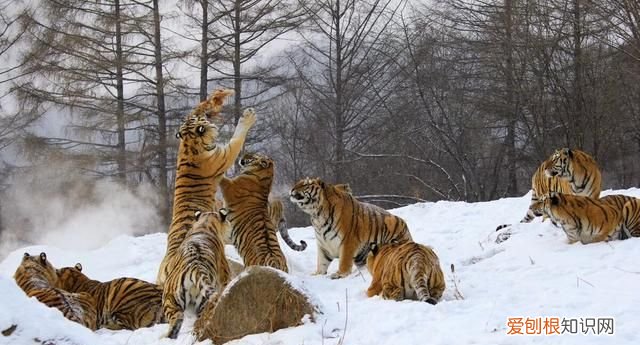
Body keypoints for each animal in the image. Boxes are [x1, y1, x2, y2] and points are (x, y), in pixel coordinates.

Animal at [156, 88, 256, 284]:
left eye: (193, 117)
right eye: (198, 117)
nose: (204, 109)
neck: (189, 143)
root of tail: (167, 265)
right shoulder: (226, 153)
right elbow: (237, 137)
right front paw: (248, 116)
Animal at [161, 208, 231, 338]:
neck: (205, 223)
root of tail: (196, 267)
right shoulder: (225, 276)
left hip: (170, 298)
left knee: (177, 319)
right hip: (203, 303)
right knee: (200, 323)